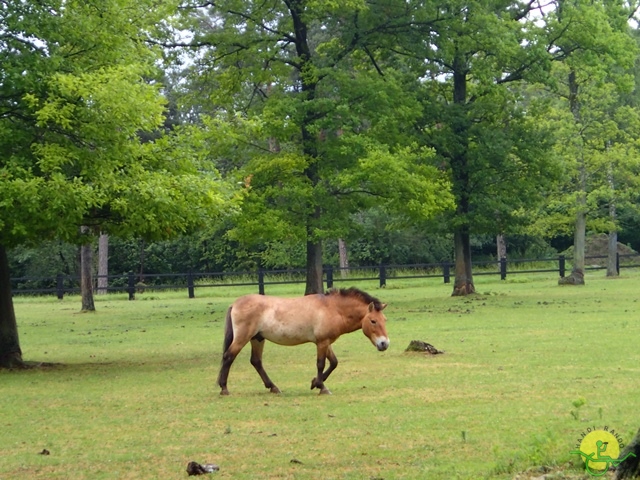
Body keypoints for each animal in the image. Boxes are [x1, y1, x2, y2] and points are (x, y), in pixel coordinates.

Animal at [219, 286, 390, 396]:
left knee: (256, 361)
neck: (332, 308)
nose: (384, 344)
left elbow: (334, 363)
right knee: (229, 356)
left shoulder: (326, 342)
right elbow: (321, 364)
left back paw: (273, 387)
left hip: (258, 339)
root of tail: (234, 304)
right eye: (373, 321)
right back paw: (224, 388)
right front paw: (322, 387)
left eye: (385, 320)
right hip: (243, 337)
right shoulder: (322, 342)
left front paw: (315, 382)